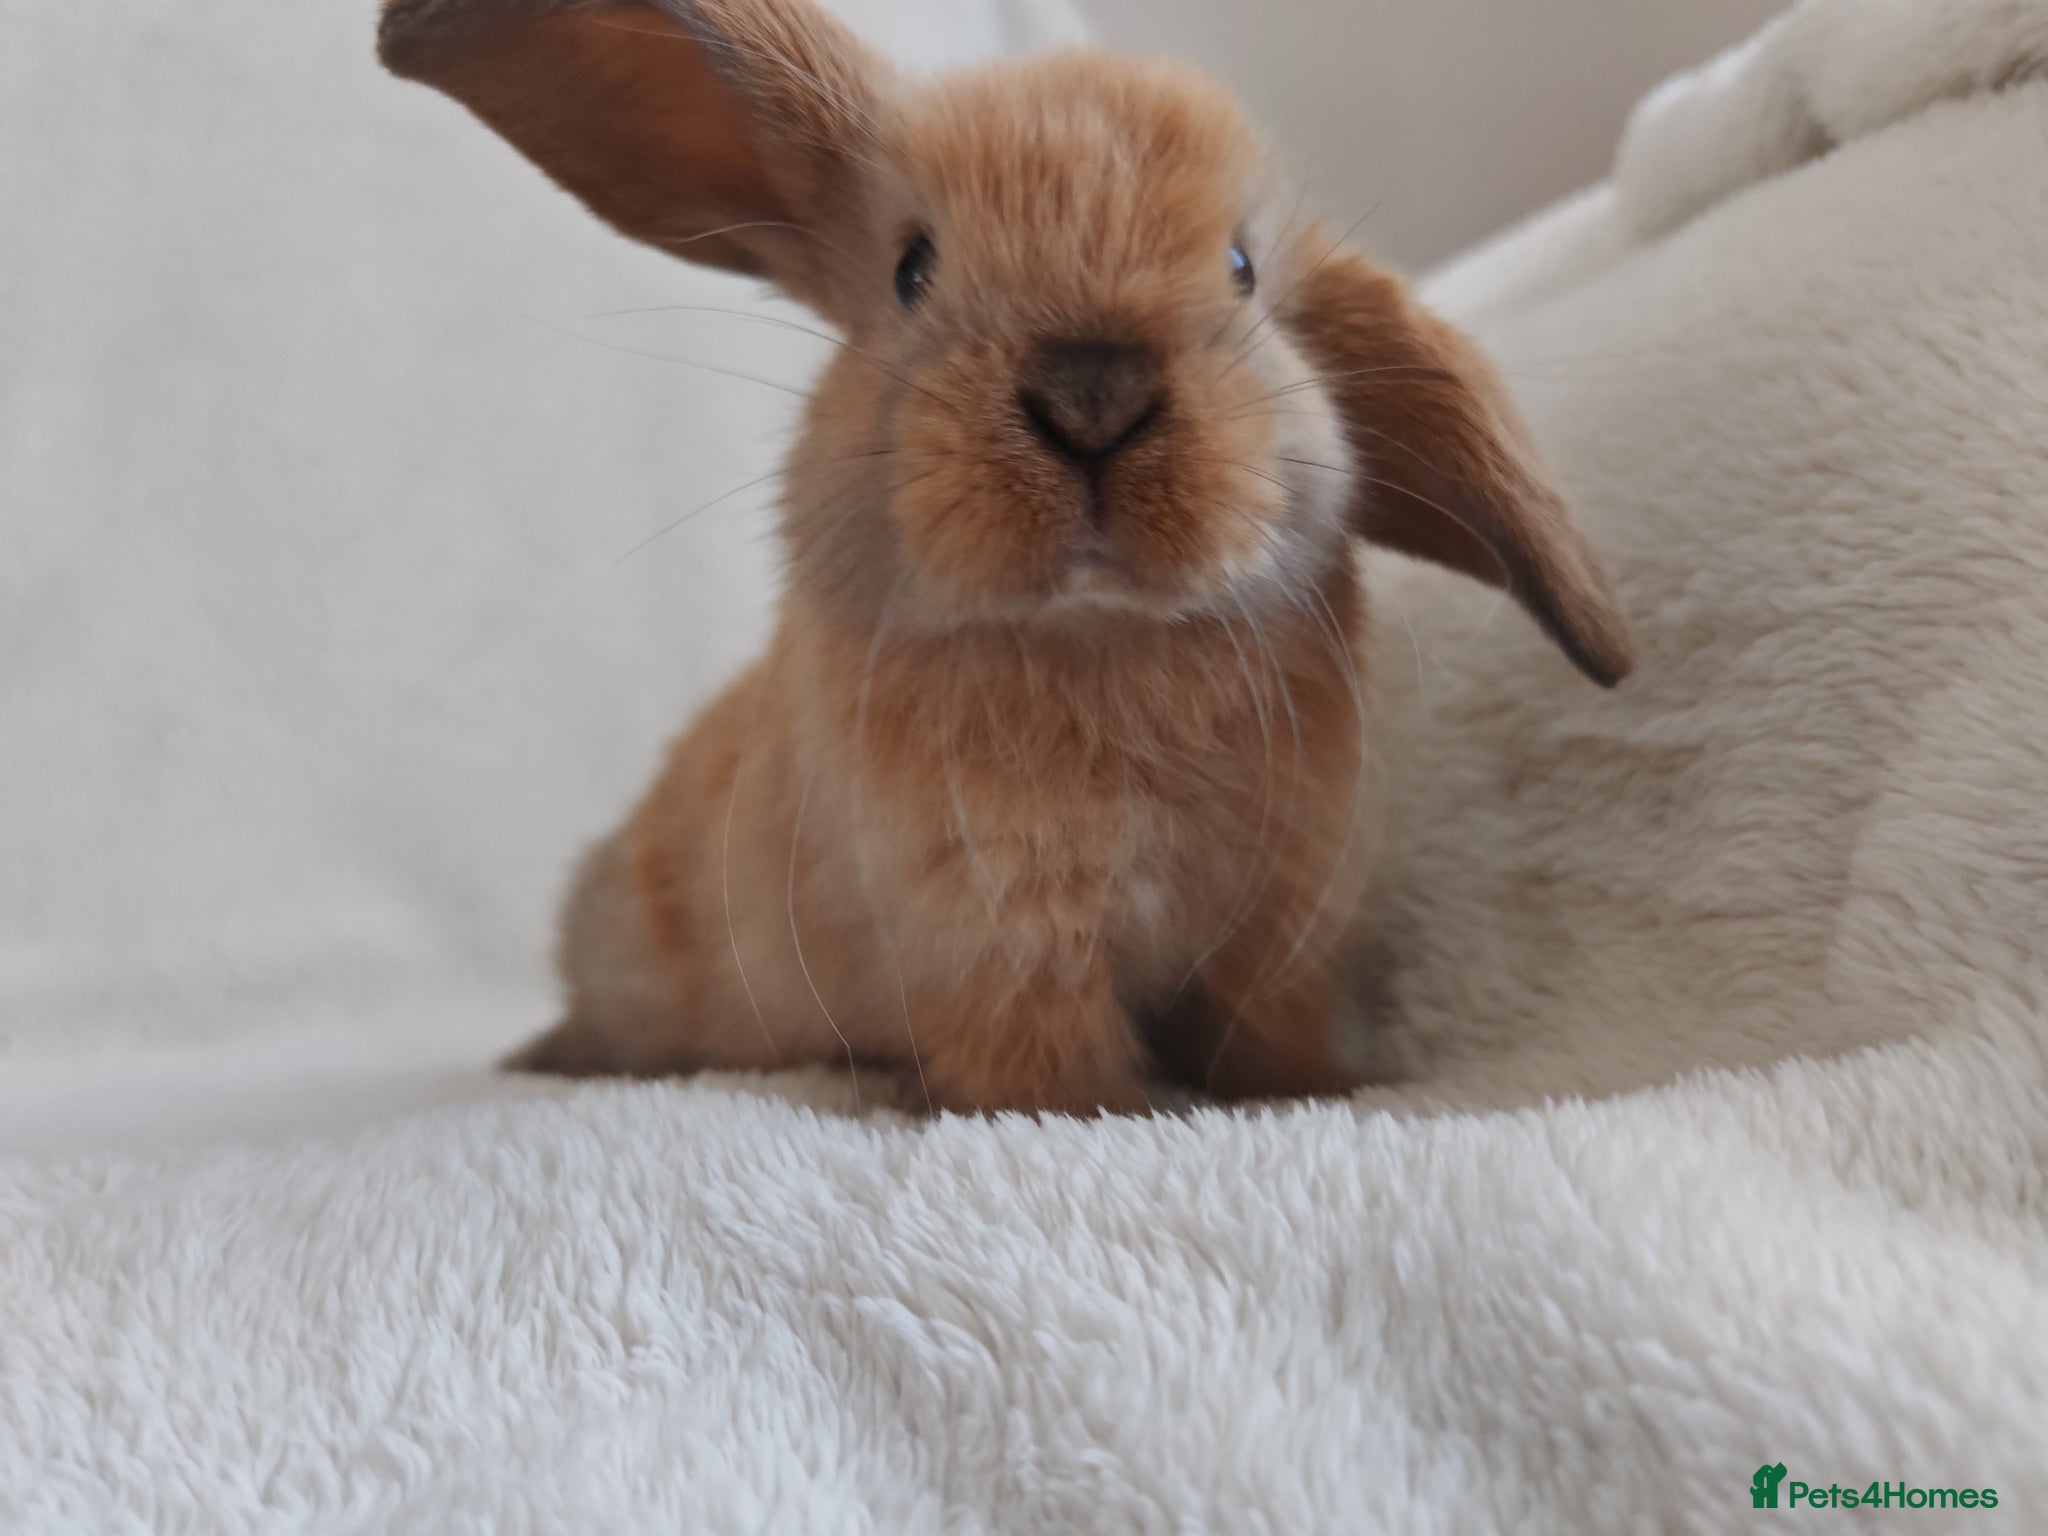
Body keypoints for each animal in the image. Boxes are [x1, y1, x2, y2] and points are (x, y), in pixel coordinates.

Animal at [378, 0, 1633, 1115]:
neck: (1098, 637)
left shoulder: (1274, 933)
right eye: (911, 270)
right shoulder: (999, 955)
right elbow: (1050, 1075)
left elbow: (1265, 1038)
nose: (1091, 394)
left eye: (1240, 269)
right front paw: (1108, 1113)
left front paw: (1320, 1093)